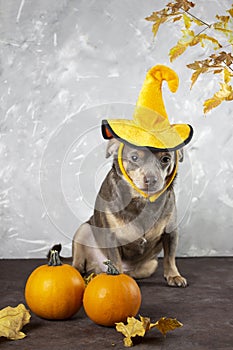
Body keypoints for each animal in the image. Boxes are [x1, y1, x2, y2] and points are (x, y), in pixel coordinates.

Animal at [72, 137, 187, 288]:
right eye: (134, 157)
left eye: (166, 159)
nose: (151, 179)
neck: (142, 200)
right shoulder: (112, 236)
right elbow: (115, 259)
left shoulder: (171, 232)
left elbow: (170, 257)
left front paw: (173, 275)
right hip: (83, 230)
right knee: (78, 266)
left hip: (150, 265)